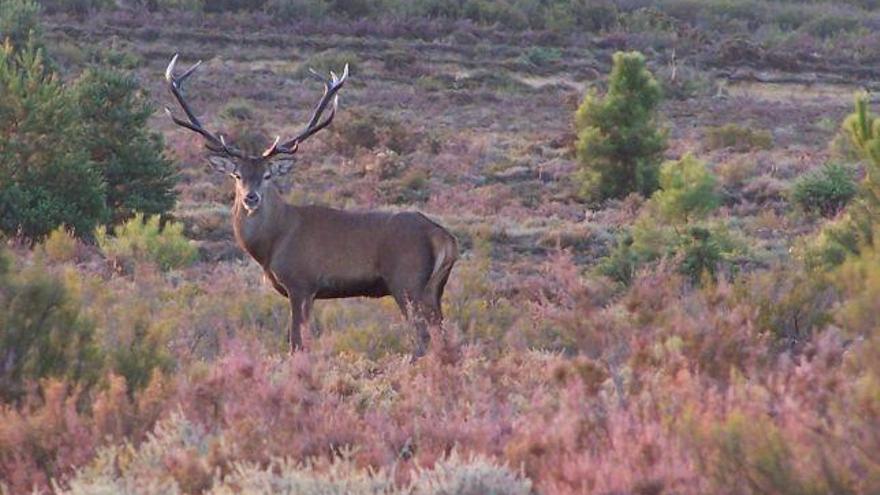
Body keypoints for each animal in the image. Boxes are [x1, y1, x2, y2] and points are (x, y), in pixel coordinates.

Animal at [163, 54, 460, 358]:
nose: (251, 198)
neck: (272, 244)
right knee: (443, 336)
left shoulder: (301, 282)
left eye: (267, 175)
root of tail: (444, 238)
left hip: (406, 281)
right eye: (237, 175)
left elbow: (297, 342)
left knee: (422, 337)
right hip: (434, 288)